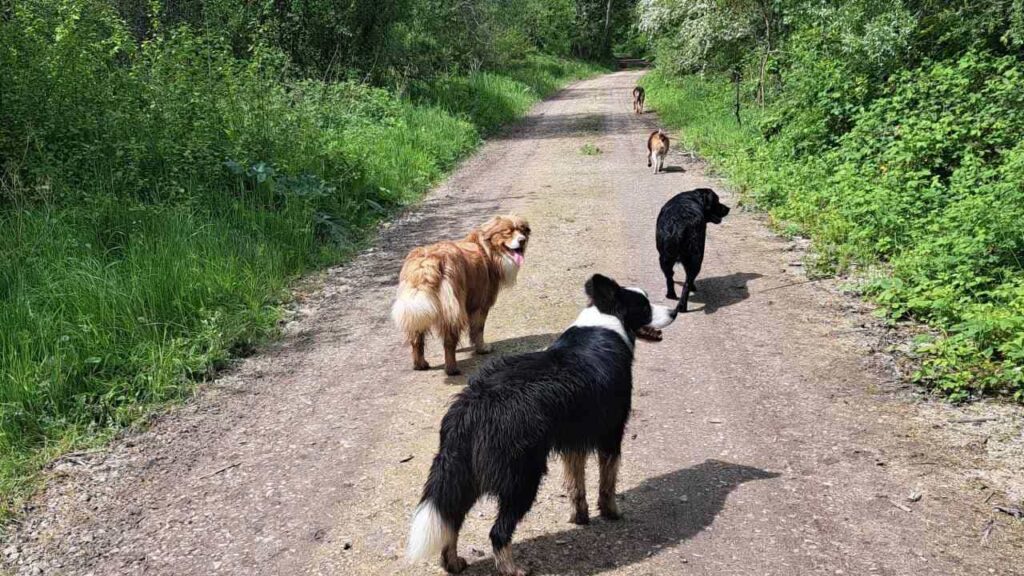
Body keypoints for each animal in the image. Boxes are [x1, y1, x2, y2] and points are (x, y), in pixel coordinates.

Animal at [391, 213, 532, 375]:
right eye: (507, 232)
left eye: (522, 230)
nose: (522, 240)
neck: (486, 250)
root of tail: (426, 262)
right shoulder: (481, 303)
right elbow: (478, 330)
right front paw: (482, 348)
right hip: (453, 305)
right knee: (449, 341)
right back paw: (452, 369)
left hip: (418, 308)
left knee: (416, 339)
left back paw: (420, 364)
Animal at [403, 272, 675, 573]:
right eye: (644, 306)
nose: (674, 311)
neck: (606, 321)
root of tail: (473, 404)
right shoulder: (611, 433)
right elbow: (608, 482)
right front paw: (611, 513)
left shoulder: (573, 439)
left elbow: (577, 484)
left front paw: (580, 517)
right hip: (522, 477)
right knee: (498, 531)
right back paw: (512, 569)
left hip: (463, 474)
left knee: (451, 519)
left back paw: (453, 562)